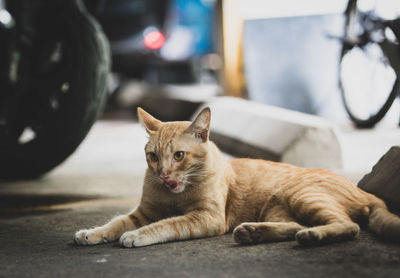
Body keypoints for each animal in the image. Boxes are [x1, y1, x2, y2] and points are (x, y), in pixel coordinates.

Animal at [74, 107, 400, 248]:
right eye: (153, 157)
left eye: (178, 156)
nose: (164, 174)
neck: (173, 194)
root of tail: (371, 195)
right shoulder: (143, 211)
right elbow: (116, 222)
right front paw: (93, 232)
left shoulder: (206, 217)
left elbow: (166, 224)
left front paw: (137, 235)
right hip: (279, 207)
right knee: (296, 225)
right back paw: (253, 232)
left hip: (303, 195)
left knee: (348, 226)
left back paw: (313, 236)